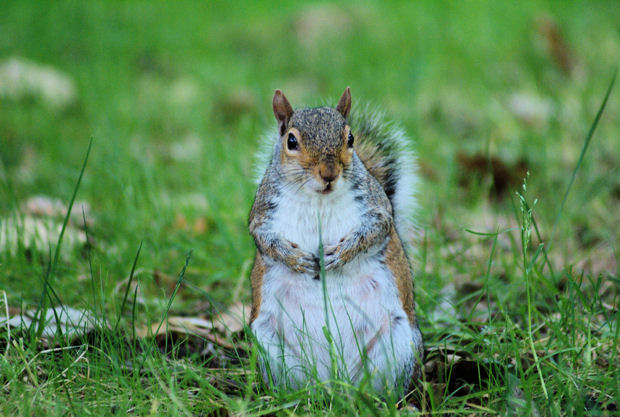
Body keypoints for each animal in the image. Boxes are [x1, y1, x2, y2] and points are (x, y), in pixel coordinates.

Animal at [249, 86, 424, 392]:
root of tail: (334, 379)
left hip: (398, 343)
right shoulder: (262, 213)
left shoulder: (377, 207)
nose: (329, 173)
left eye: (350, 138)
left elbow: (376, 229)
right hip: (271, 346)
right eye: (291, 141)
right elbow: (264, 239)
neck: (319, 198)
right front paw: (297, 260)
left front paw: (340, 255)